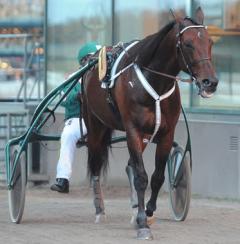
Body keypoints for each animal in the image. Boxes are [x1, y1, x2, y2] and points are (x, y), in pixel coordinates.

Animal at [81, 7, 218, 240]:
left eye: (209, 41)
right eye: (188, 43)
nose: (210, 82)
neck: (153, 83)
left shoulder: (166, 134)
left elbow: (157, 177)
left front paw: (148, 212)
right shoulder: (133, 131)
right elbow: (141, 177)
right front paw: (143, 223)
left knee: (129, 165)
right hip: (95, 125)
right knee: (96, 164)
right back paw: (100, 210)